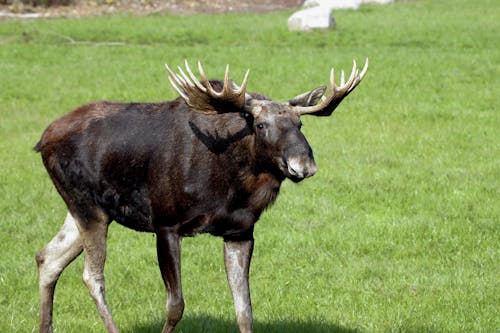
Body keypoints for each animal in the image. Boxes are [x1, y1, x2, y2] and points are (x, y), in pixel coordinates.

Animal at [34, 58, 368, 330]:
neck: (232, 187)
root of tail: (42, 139)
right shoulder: (166, 224)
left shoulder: (240, 231)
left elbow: (244, 310)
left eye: (299, 124)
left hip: (86, 210)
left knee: (48, 257)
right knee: (91, 276)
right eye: (261, 125)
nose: (304, 165)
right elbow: (176, 306)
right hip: (89, 209)